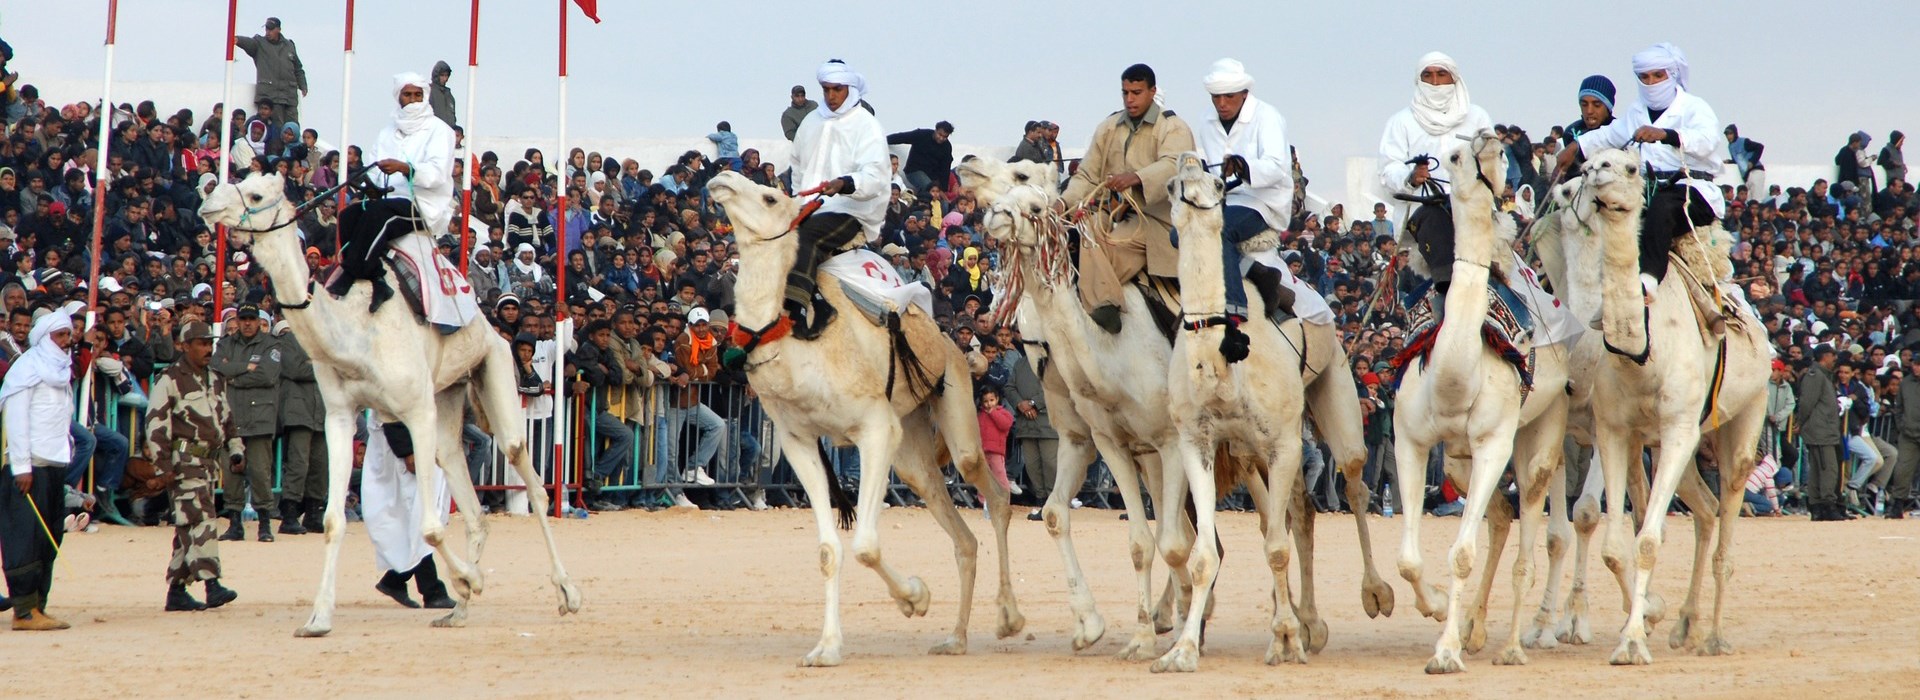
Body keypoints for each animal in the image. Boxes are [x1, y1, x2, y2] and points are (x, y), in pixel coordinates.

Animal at [200, 173, 583, 632]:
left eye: (256, 193)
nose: (208, 203)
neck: (354, 333)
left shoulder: (416, 410)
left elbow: (430, 527)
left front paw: (469, 579)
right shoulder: (339, 415)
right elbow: (332, 520)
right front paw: (318, 619)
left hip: (494, 363)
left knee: (525, 470)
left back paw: (567, 593)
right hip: (447, 394)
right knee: (464, 487)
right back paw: (458, 611)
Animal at [706, 168, 1029, 663]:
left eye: (769, 197)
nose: (721, 177)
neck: (795, 337)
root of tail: (951, 339)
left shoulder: (875, 427)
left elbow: (865, 546)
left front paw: (916, 597)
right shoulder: (799, 441)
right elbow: (828, 551)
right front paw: (826, 648)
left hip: (954, 399)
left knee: (992, 493)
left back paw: (1008, 618)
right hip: (912, 440)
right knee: (953, 522)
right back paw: (954, 639)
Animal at [1390, 130, 1566, 671]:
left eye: (1500, 153)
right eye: (1451, 155)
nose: (1488, 139)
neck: (1453, 377)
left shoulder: (1493, 442)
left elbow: (1462, 555)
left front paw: (1445, 652)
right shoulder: (1411, 441)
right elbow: (1408, 558)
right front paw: (1437, 609)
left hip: (1540, 430)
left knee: (1529, 524)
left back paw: (1511, 646)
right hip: (1457, 460)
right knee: (1502, 516)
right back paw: (1474, 628)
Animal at [1543, 149, 1766, 663]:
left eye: (1628, 167)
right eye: (1578, 177)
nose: (1595, 175)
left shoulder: (1645, 428)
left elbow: (1613, 526)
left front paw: (1624, 628)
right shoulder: (1600, 429)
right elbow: (1584, 531)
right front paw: (1553, 628)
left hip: (1744, 415)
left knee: (1726, 511)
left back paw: (1714, 636)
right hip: (1669, 444)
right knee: (1703, 508)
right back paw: (1685, 625)